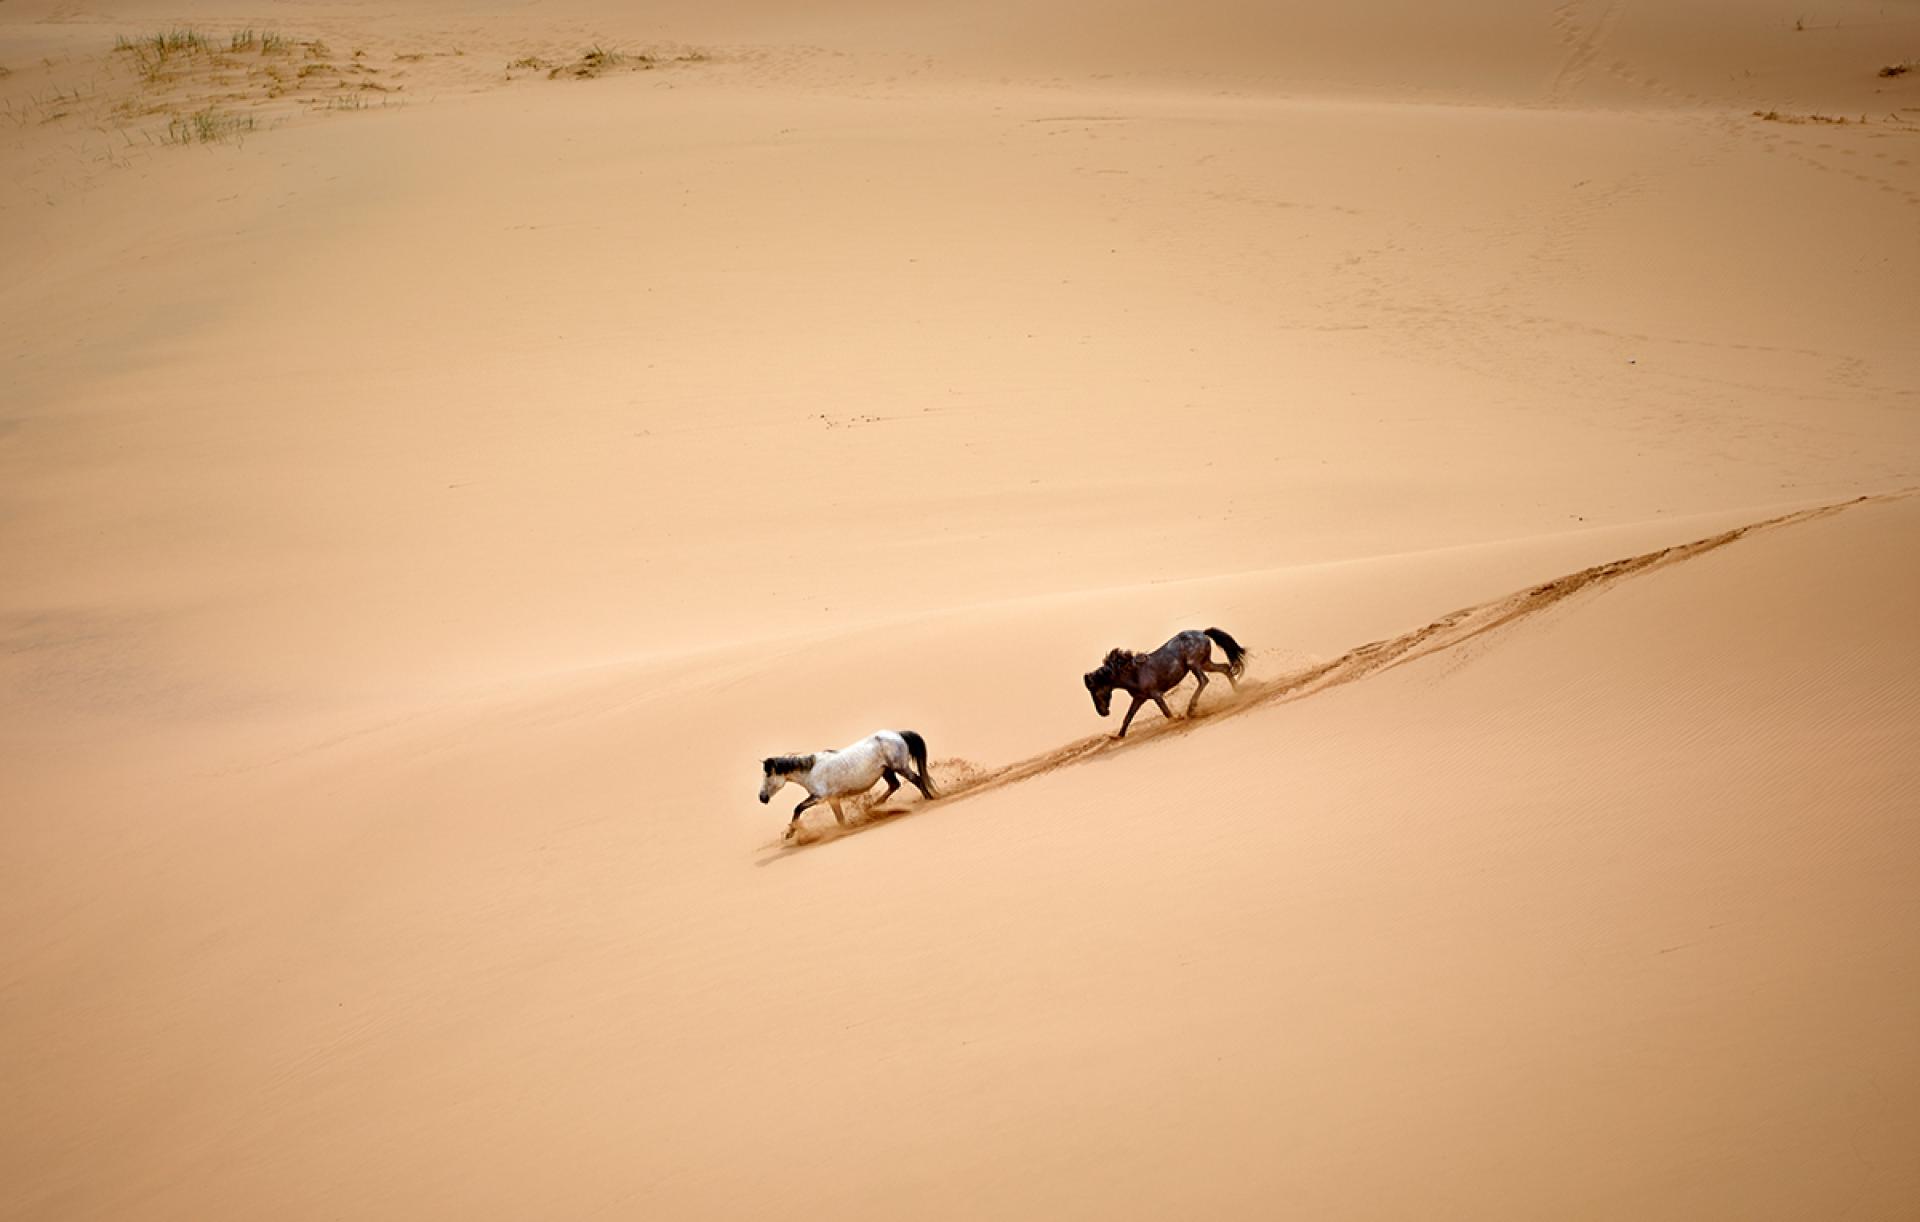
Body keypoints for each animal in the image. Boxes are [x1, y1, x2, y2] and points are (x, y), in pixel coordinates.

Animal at [764, 730, 944, 833]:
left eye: (768, 775)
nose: (762, 797)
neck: (811, 770)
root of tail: (898, 734)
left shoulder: (819, 797)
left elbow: (798, 808)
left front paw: (790, 833)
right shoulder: (832, 799)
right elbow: (840, 819)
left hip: (900, 767)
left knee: (917, 780)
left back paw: (928, 799)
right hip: (887, 770)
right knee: (895, 785)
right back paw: (874, 807)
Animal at [1090, 630, 1251, 733]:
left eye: (1095, 692)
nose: (1102, 712)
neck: (1133, 673)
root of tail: (1202, 633)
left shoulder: (1156, 695)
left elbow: (1166, 712)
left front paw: (1176, 721)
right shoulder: (1139, 698)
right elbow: (1128, 717)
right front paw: (1117, 737)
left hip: (1194, 664)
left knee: (1204, 680)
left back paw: (1191, 709)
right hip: (1205, 663)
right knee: (1225, 668)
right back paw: (1238, 692)